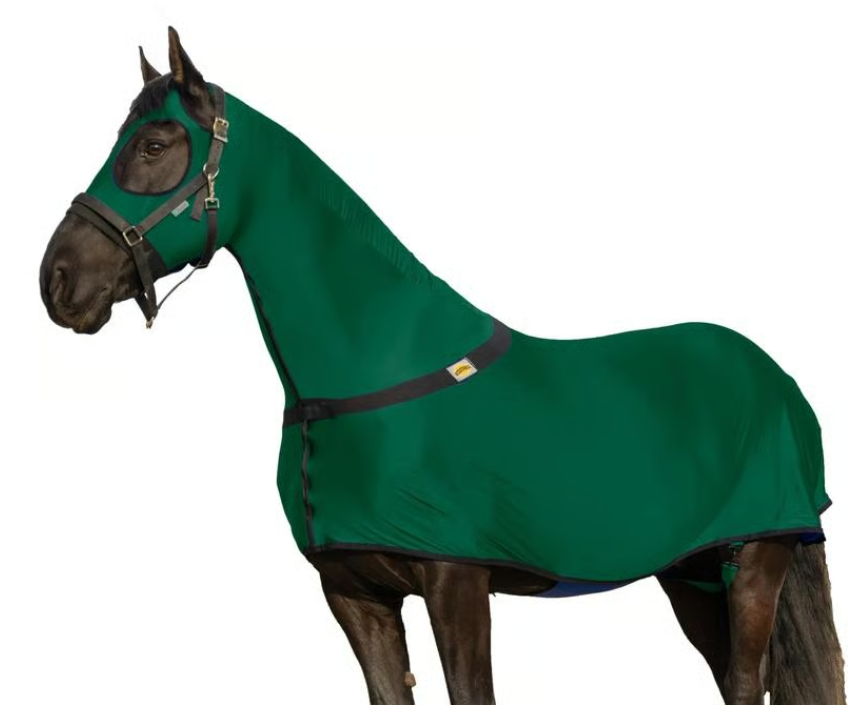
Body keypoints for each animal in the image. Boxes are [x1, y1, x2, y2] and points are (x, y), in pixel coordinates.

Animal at [39, 28, 844, 704]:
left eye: (155, 144)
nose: (58, 281)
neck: (370, 372)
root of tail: (776, 377)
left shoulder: (458, 584)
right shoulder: (354, 594)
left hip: (757, 559)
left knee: (746, 683)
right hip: (695, 574)